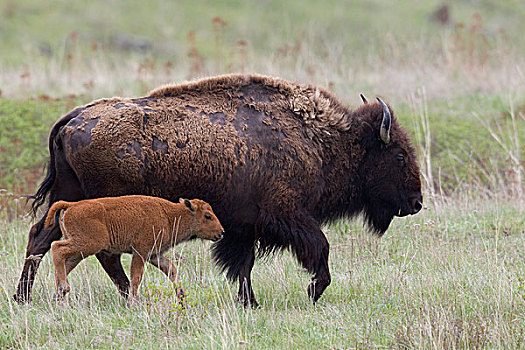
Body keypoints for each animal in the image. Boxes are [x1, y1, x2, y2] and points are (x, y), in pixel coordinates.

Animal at [44, 196, 223, 302]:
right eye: (208, 216)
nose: (221, 232)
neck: (169, 215)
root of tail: (72, 205)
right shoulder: (141, 253)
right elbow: (136, 277)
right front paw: (134, 301)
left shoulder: (154, 255)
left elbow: (171, 269)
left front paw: (182, 297)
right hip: (87, 244)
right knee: (57, 248)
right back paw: (63, 288)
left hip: (81, 250)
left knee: (64, 263)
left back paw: (59, 295)